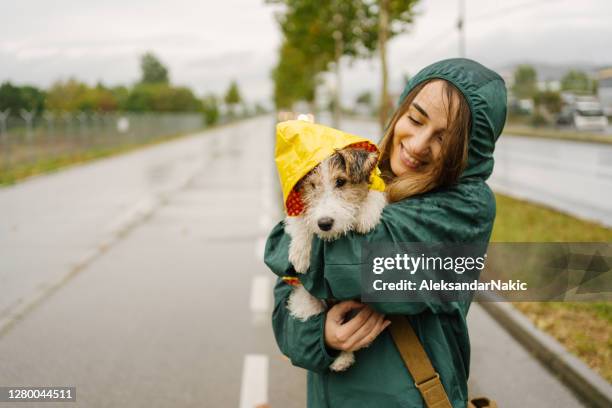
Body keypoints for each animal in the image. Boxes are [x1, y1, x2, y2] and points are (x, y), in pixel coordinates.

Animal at [284, 147, 388, 372]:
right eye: (312, 186)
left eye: (341, 181)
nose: (324, 223)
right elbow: (300, 221)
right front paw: (300, 252)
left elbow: (375, 194)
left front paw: (366, 215)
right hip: (307, 302)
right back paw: (341, 359)